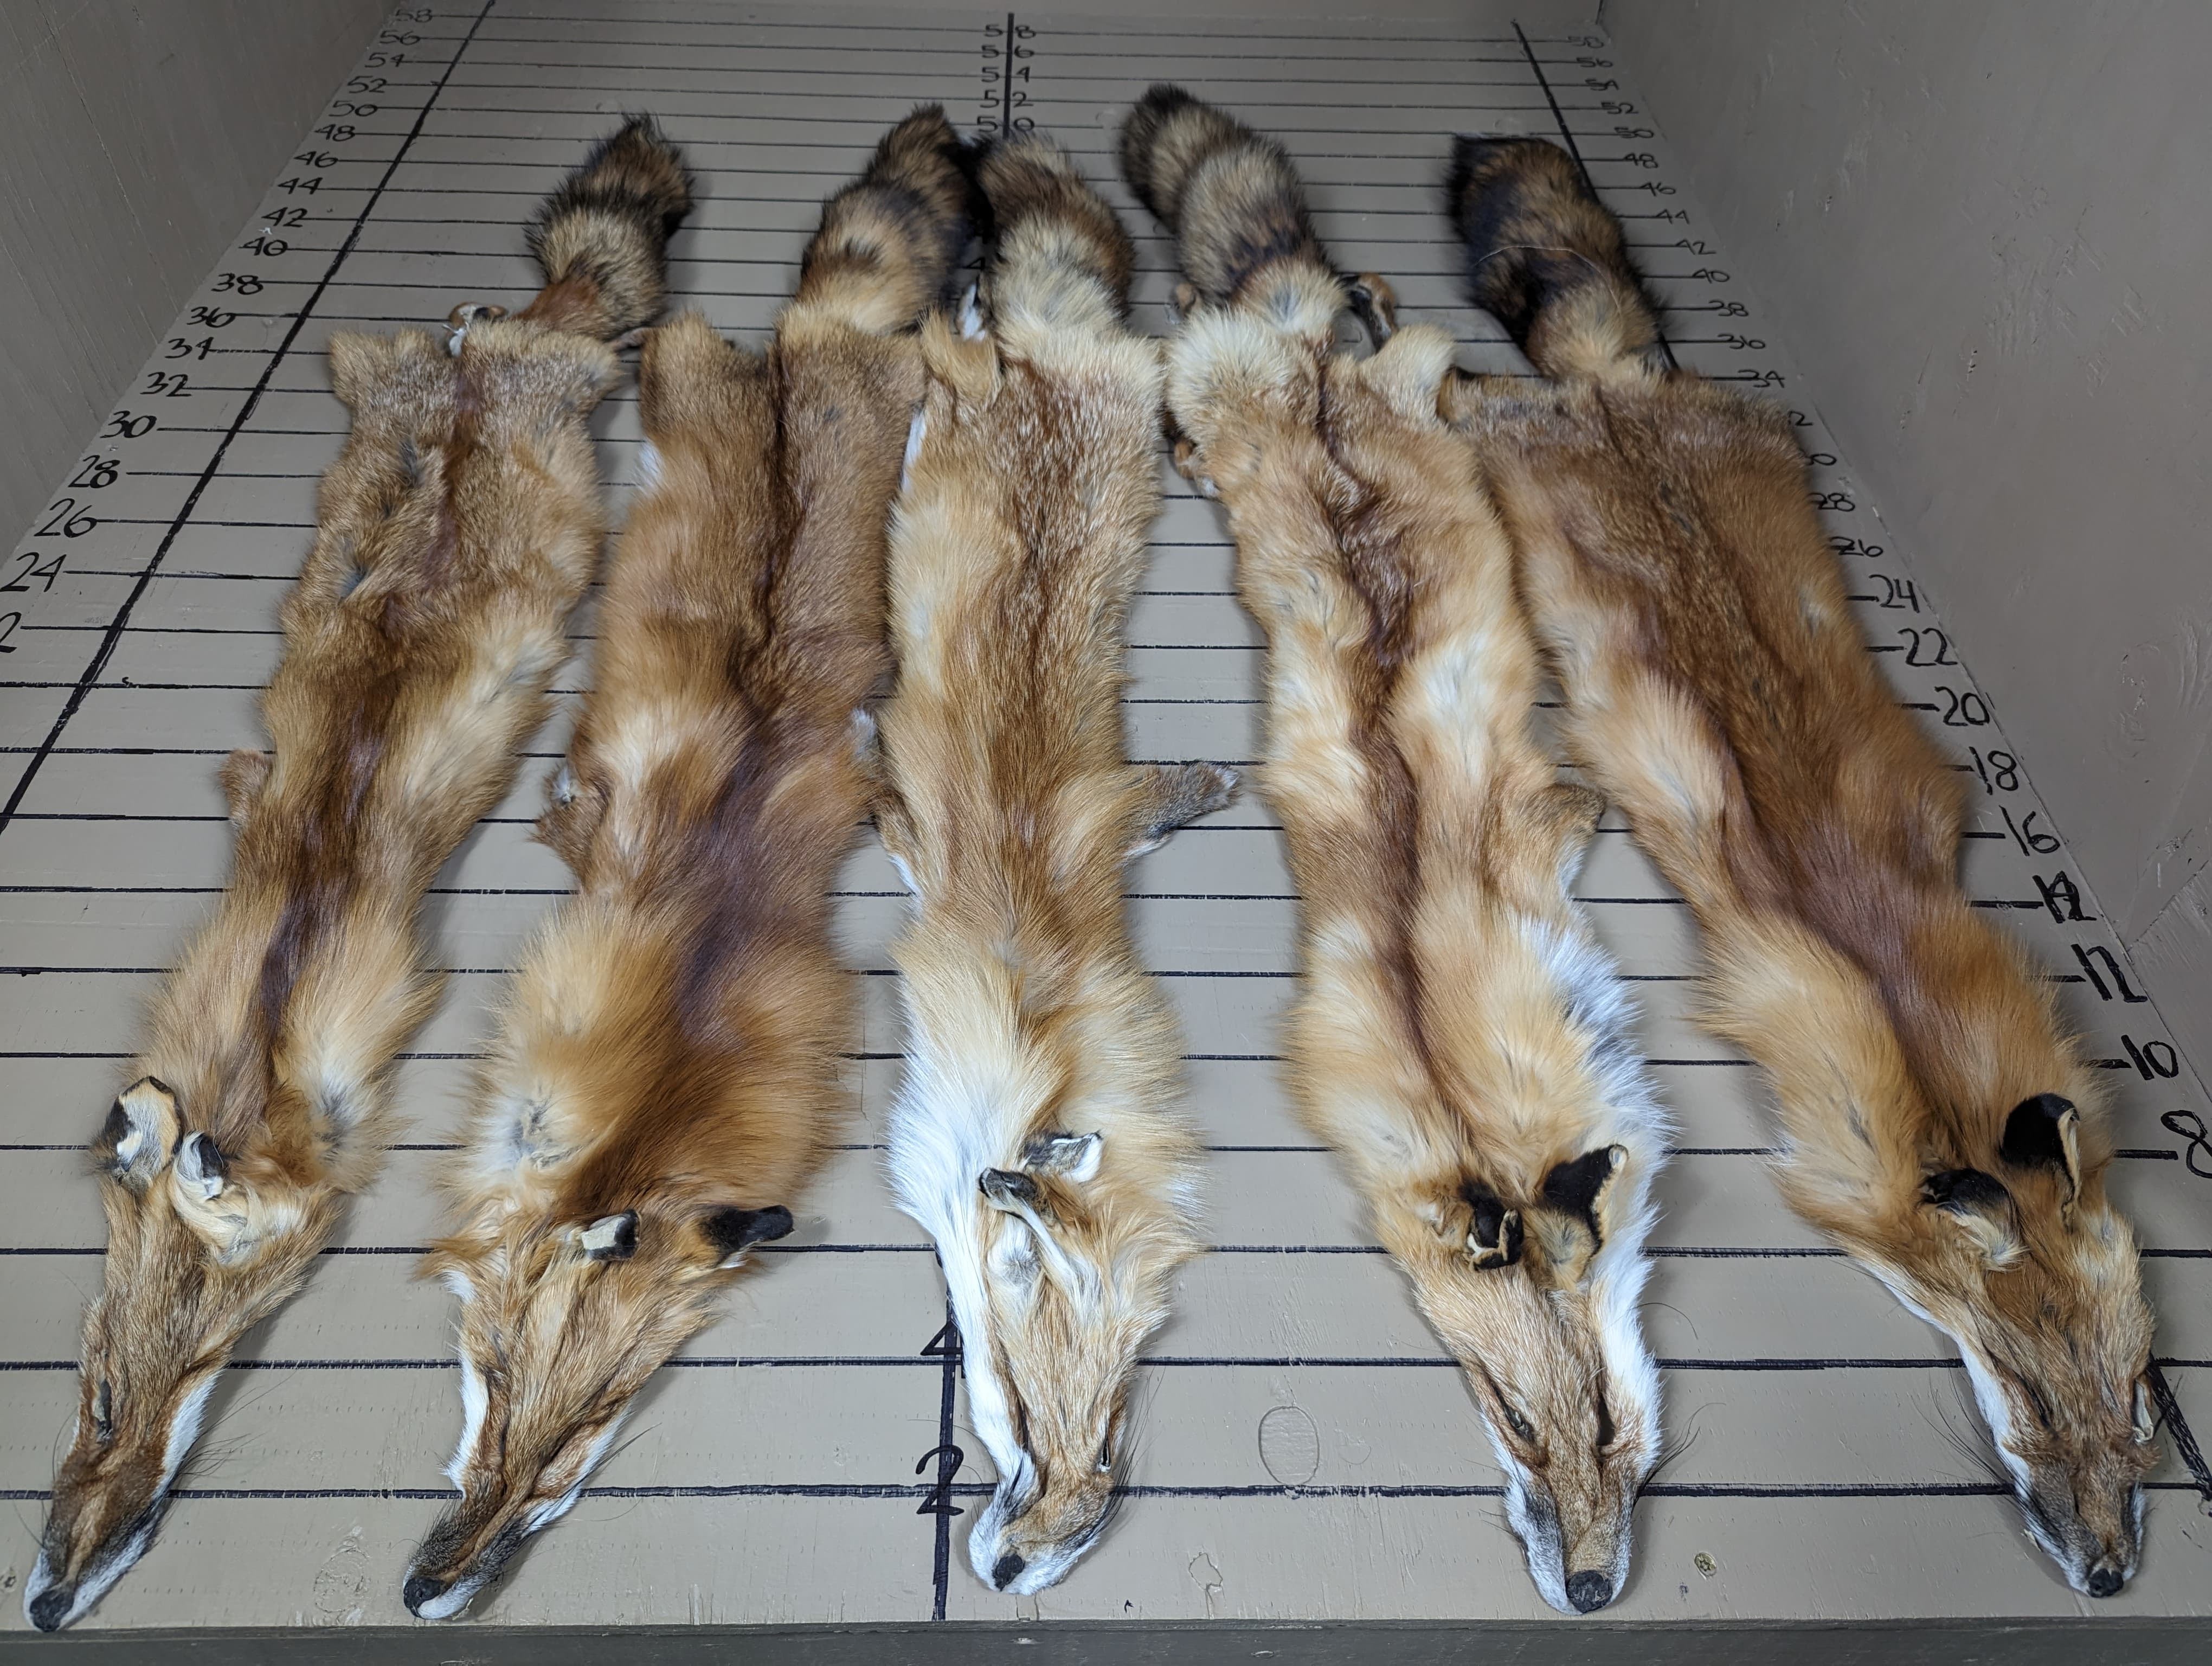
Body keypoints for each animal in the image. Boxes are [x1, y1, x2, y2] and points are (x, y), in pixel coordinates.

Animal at [23, 117, 690, 1633]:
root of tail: (499, 351)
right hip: (394, 361)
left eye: (192, 1370)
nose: (40, 1604)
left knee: (593, 314)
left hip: (576, 378)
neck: (258, 1028)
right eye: (95, 1403)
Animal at [399, 108, 975, 1621]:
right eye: (486, 1386)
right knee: (588, 317)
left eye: (574, 1447)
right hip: (671, 374)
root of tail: (800, 345)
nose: (428, 1595)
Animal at [1126, 86, 1672, 1617]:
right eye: (1512, 1420)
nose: (1592, 1594)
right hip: (1242, 398)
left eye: (1610, 1426)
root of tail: (1299, 365)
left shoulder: (1552, 827)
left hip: (1374, 368)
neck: (1446, 1064)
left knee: (1377, 316)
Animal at [1441, 135, 2159, 1596]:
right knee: (1474, 390)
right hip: (1500, 443)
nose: (2113, 1576)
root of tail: (1616, 390)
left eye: (2140, 1399)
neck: (1937, 1078)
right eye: (2029, 1401)